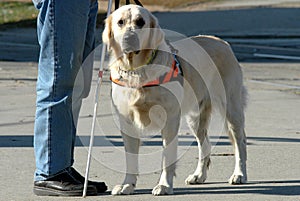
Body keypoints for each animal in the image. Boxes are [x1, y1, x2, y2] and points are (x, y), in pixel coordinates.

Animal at [102, 5, 247, 196]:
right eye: (120, 22)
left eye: (141, 22)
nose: (129, 38)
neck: (137, 71)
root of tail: (222, 42)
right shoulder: (126, 121)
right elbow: (130, 159)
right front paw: (127, 185)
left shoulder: (170, 119)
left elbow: (167, 158)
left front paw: (164, 185)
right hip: (196, 117)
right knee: (205, 144)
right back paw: (198, 175)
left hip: (231, 108)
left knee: (240, 143)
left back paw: (239, 174)